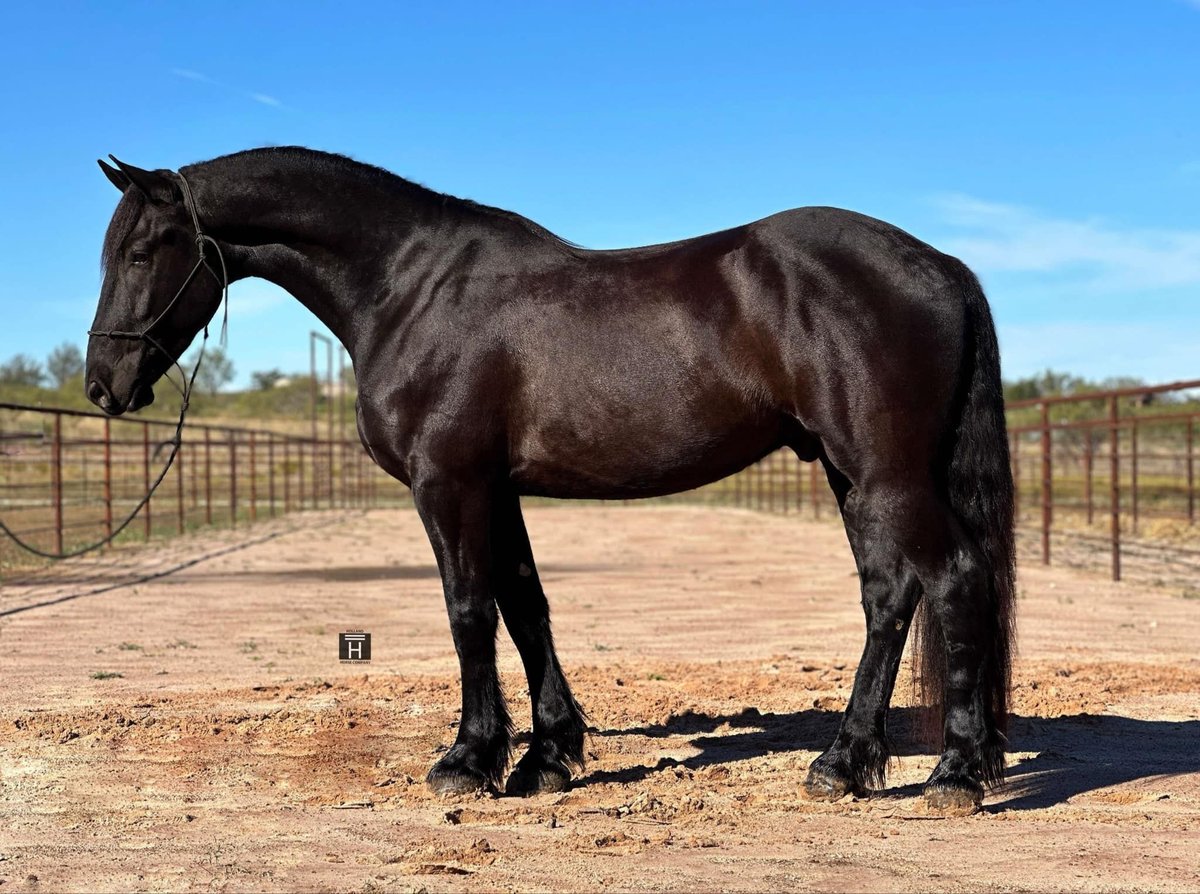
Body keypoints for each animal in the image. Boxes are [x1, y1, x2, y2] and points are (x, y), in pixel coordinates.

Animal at [85, 147, 1015, 813]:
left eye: (140, 250)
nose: (102, 385)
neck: (411, 288)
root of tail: (939, 266)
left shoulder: (448, 483)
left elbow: (469, 609)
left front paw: (468, 761)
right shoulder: (497, 489)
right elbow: (525, 605)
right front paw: (548, 756)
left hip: (887, 477)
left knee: (954, 578)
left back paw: (954, 776)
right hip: (849, 474)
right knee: (890, 595)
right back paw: (844, 763)